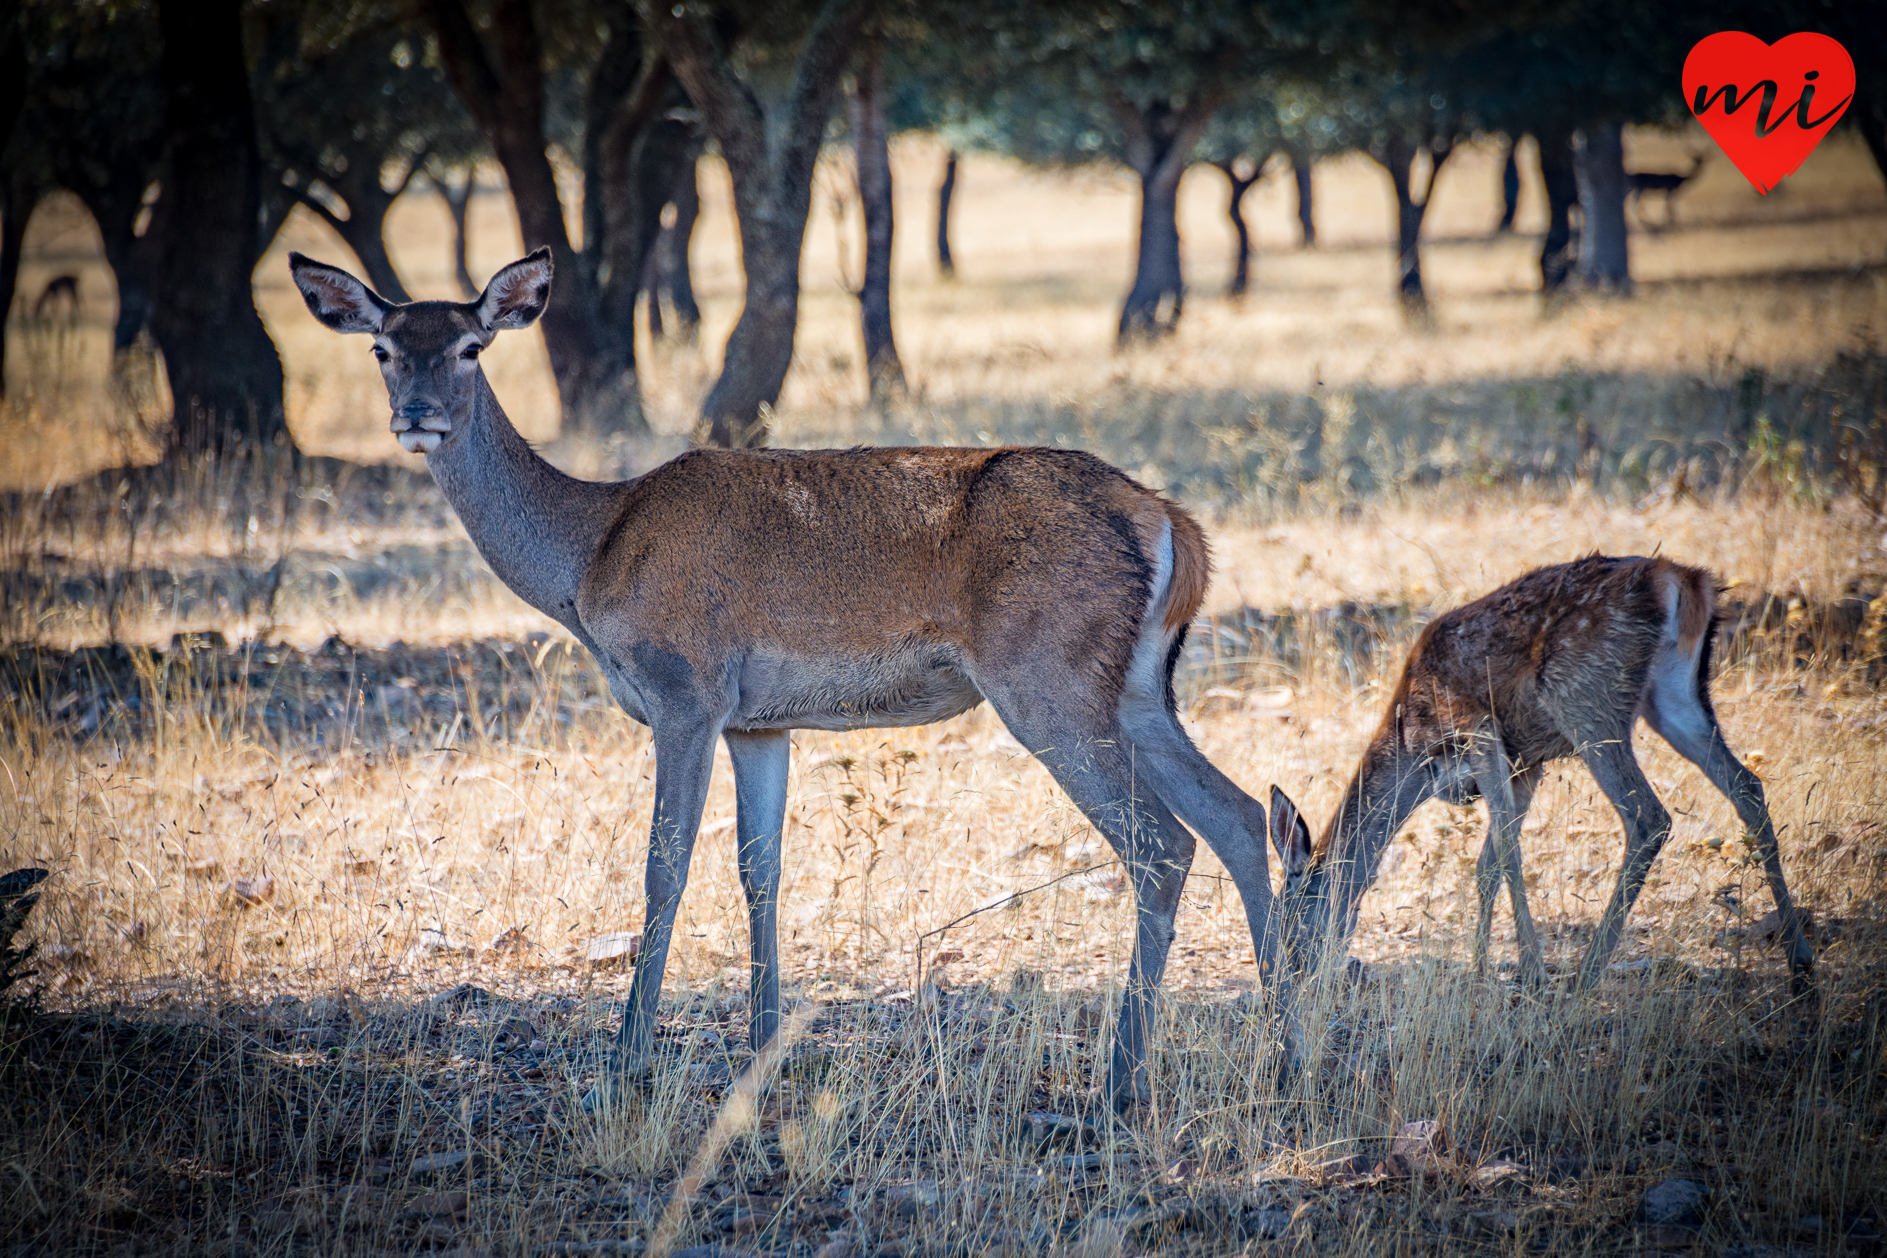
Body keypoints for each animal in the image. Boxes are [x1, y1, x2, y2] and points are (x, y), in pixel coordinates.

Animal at [290, 248, 1298, 1109]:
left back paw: (1122, 1078)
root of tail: (1171, 523)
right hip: (1134, 684)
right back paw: (1284, 1043)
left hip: (1046, 676)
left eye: (471, 346)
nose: (416, 415)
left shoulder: (685, 688)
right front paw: (762, 1048)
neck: (590, 557)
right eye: (384, 348)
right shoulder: (758, 721)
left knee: (1163, 844)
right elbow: (760, 869)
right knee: (1242, 814)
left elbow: (664, 864)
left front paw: (626, 1061)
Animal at [1268, 554, 1811, 995]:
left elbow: (1508, 853)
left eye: (1290, 920)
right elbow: (1487, 864)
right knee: (1747, 786)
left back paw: (1587, 973)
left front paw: (1529, 969)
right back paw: (1801, 967)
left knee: (1648, 815)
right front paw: (1480, 969)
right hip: (1676, 696)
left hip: (1584, 696)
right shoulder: (1527, 763)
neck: (1411, 749)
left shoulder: (1479, 732)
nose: (1293, 976)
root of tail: (1681, 579)